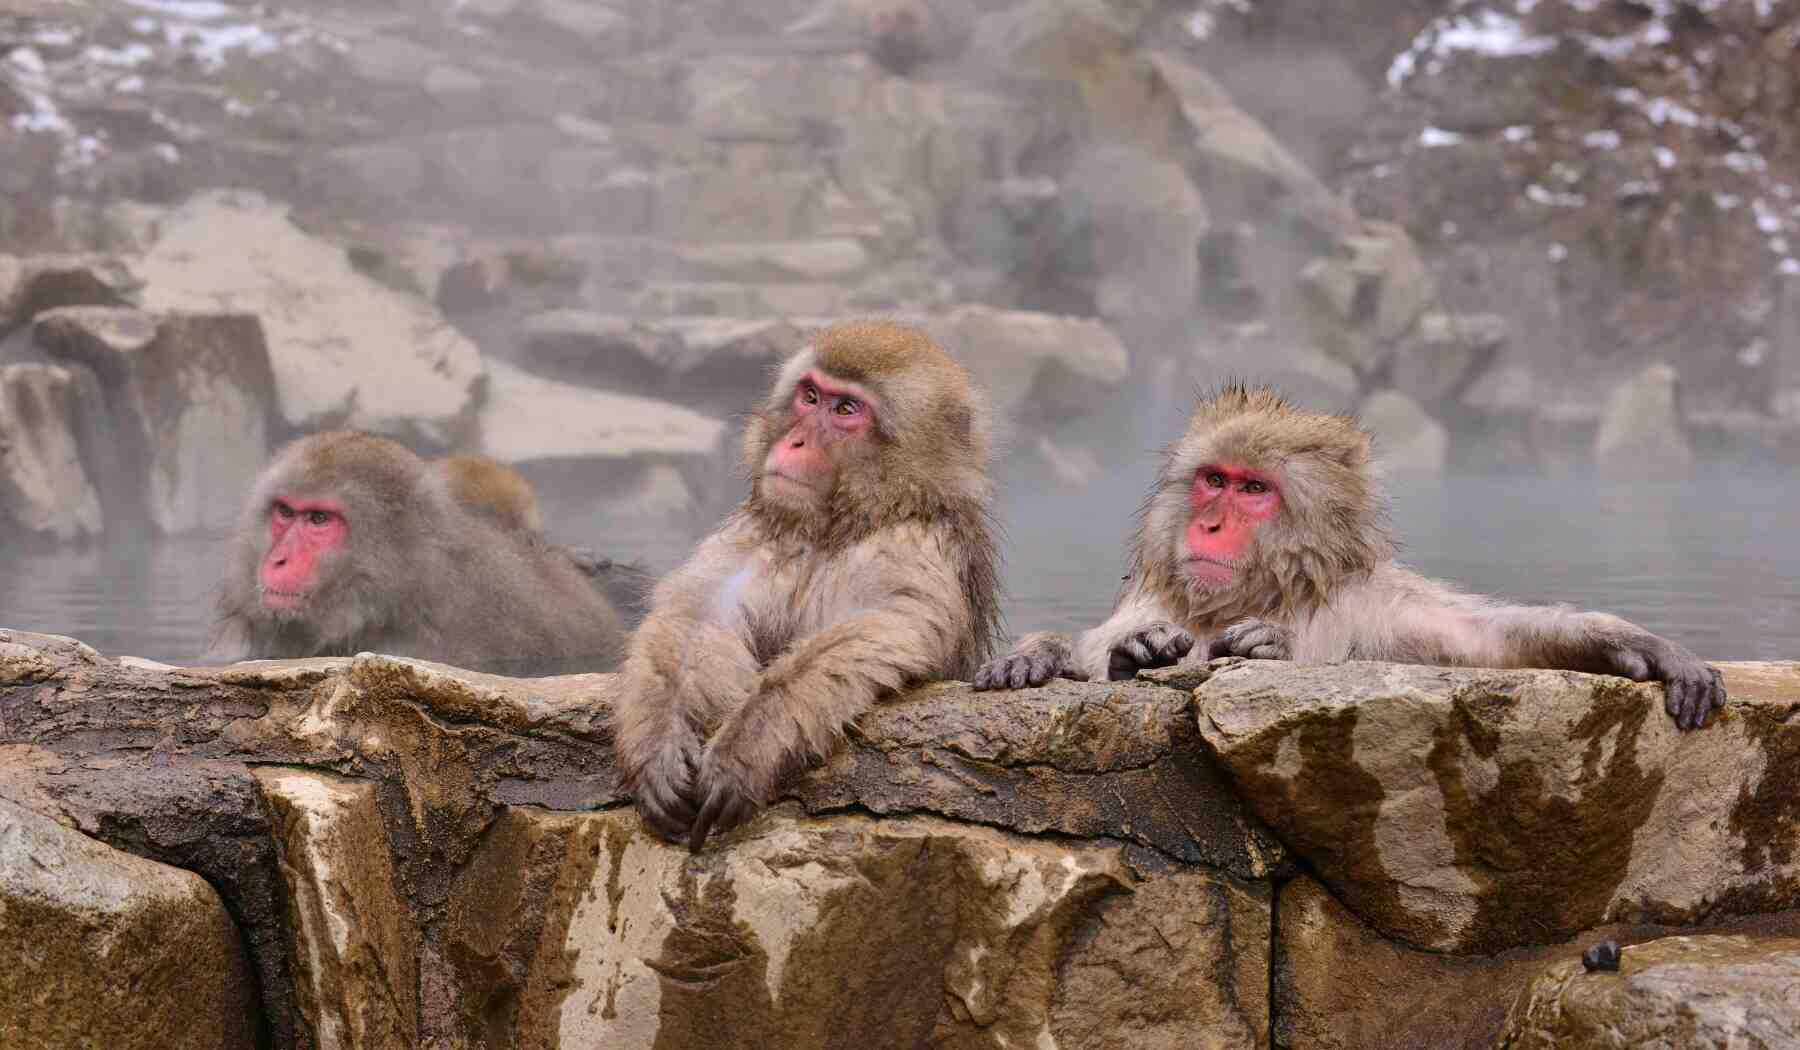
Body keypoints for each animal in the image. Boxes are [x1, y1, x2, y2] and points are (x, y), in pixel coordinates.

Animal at [979, 381, 1720, 734]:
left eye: (1254, 490)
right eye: (1214, 480)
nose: (1210, 523)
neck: (1266, 591)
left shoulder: (1380, 606)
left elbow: (1483, 642)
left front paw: (1631, 643)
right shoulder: (1150, 598)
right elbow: (1099, 646)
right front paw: (1097, 654)